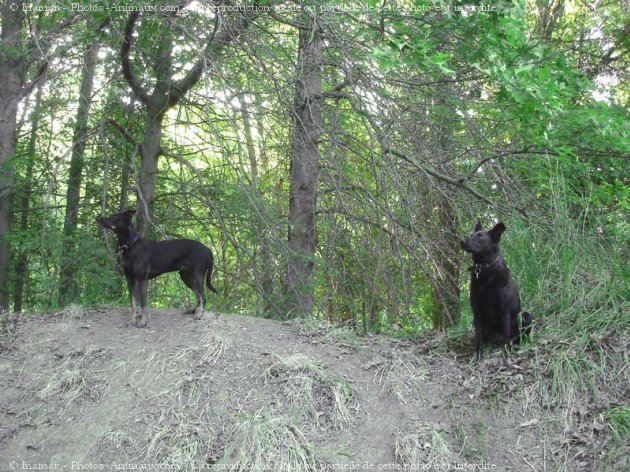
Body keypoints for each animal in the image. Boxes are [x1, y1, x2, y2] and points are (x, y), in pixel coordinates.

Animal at [460, 221, 532, 362]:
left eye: (481, 237)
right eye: (471, 235)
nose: (462, 241)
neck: (485, 270)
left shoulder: (505, 312)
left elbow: (507, 338)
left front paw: (506, 355)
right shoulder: (477, 313)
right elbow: (479, 340)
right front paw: (478, 356)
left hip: (525, 316)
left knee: (517, 337)